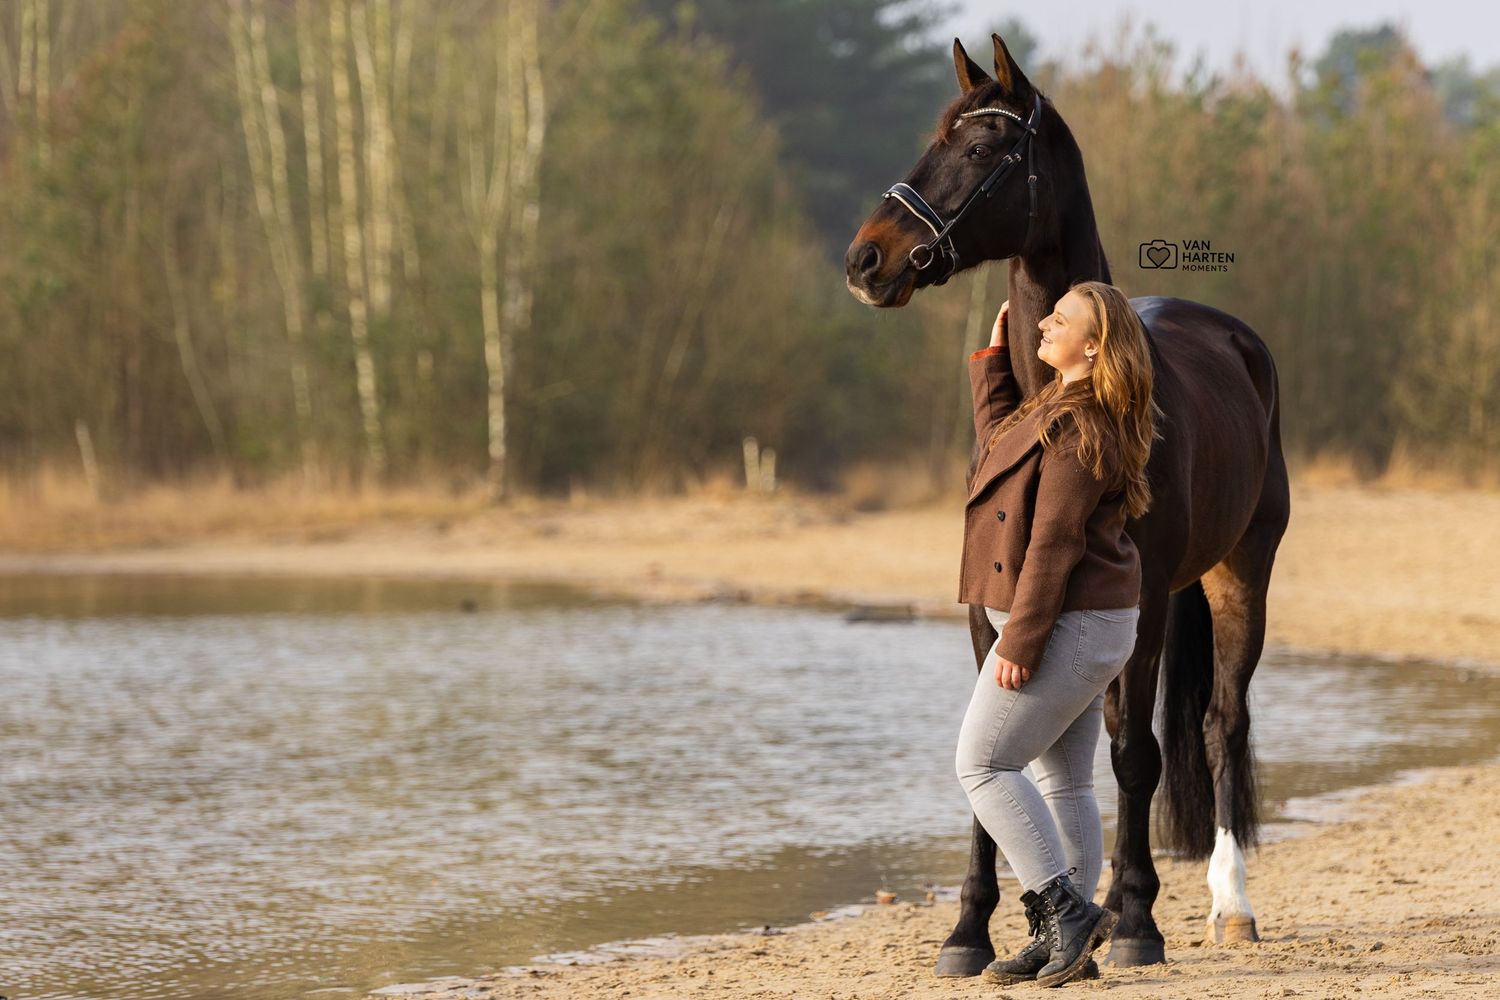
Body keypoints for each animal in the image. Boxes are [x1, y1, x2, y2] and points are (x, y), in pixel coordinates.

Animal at [843, 34, 1290, 973]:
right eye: (935, 138)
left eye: (982, 147)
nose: (867, 259)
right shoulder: (994, 604)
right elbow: (996, 748)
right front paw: (971, 929)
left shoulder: (1142, 602)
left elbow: (1134, 754)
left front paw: (1138, 922)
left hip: (1241, 573)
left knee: (1220, 724)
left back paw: (1226, 904)